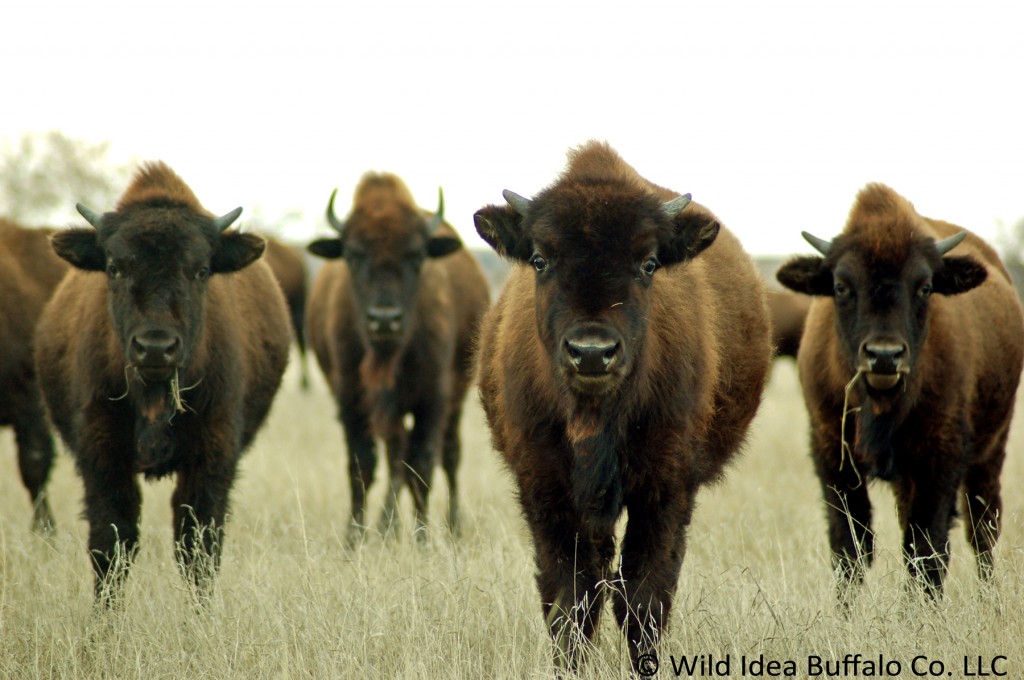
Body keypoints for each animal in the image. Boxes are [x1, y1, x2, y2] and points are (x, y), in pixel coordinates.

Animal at [35, 162, 291, 601]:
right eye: (115, 267)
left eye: (201, 270)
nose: (155, 347)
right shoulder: (102, 455)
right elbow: (112, 544)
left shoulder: (212, 457)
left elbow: (198, 548)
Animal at [306, 173, 489, 544]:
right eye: (352, 254)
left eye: (416, 256)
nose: (385, 319)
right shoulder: (351, 400)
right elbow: (362, 465)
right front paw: (354, 539)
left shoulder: (432, 400)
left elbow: (422, 466)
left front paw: (422, 540)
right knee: (395, 457)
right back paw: (387, 529)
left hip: (454, 401)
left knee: (449, 456)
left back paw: (451, 527)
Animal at [473, 141, 772, 672]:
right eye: (539, 258)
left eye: (648, 263)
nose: (592, 352)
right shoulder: (544, 490)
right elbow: (569, 600)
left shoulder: (666, 488)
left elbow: (644, 597)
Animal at [776, 183, 1024, 600]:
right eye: (841, 286)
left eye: (924, 287)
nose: (884, 356)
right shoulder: (833, 456)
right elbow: (850, 548)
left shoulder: (938, 459)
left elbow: (926, 550)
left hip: (990, 451)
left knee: (983, 527)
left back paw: (989, 597)